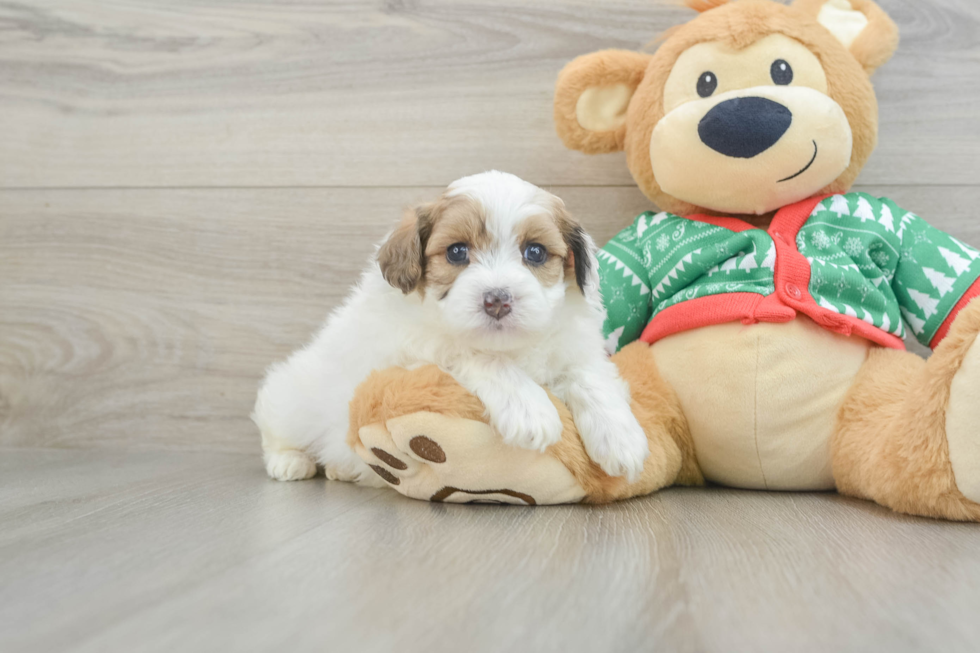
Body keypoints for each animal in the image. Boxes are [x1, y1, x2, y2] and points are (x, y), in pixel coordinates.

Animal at [253, 169, 652, 484]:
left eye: (535, 252)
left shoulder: (573, 346)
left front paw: (622, 438)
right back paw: (291, 462)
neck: (509, 345)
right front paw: (530, 409)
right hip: (290, 400)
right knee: (274, 431)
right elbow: (469, 353)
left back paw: (340, 469)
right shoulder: (402, 353)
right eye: (457, 252)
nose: (497, 299)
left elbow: (589, 377)